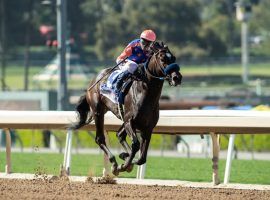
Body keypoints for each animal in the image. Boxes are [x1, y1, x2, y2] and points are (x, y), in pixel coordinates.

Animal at [70, 41, 182, 175]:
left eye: (173, 58)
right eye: (163, 58)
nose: (177, 78)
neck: (144, 93)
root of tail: (94, 80)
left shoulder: (148, 127)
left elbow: (142, 158)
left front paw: (126, 158)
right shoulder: (129, 121)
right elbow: (136, 145)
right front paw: (123, 165)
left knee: (119, 135)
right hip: (98, 111)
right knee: (100, 139)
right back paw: (114, 163)